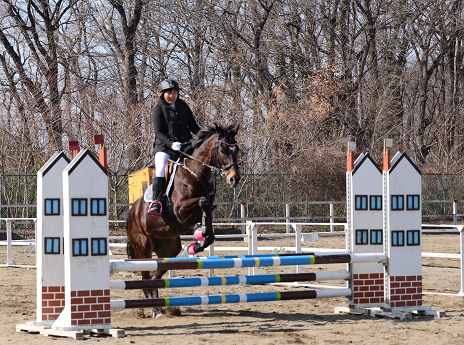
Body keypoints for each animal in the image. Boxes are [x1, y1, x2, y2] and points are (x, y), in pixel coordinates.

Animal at [125, 122, 241, 310]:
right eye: (223, 150)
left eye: (236, 149)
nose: (234, 179)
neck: (196, 173)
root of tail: (132, 212)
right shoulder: (180, 210)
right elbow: (203, 202)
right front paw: (200, 235)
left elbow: (209, 223)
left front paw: (197, 244)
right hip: (143, 247)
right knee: (146, 279)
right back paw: (154, 307)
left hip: (169, 248)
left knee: (156, 276)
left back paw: (158, 307)